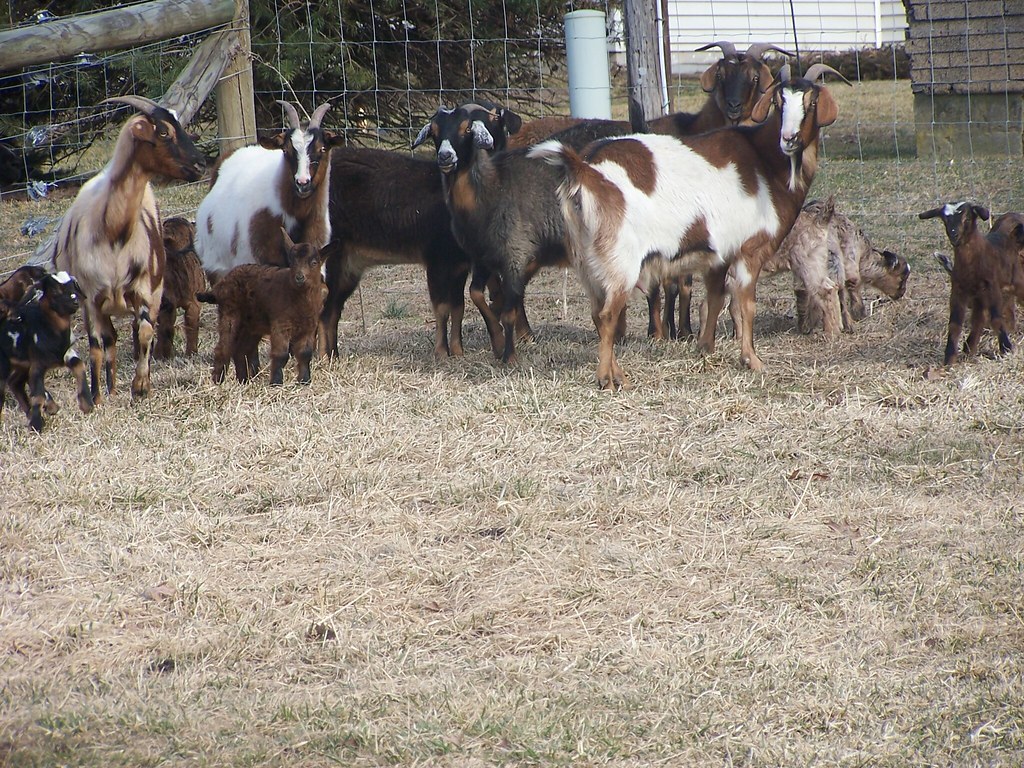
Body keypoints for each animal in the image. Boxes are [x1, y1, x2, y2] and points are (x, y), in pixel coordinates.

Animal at [0, 271, 92, 431]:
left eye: (73, 286)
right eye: (54, 291)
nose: (75, 301)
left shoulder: (66, 354)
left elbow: (79, 365)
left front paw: (86, 404)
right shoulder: (37, 363)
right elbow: (38, 395)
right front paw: (37, 424)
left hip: (22, 364)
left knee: (15, 382)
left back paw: (40, 410)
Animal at [197, 229, 325, 386]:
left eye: (314, 263)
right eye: (292, 262)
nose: (299, 277)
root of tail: (221, 285)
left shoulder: (309, 326)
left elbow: (305, 353)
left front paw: (305, 381)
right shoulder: (280, 324)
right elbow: (281, 354)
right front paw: (276, 383)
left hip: (251, 325)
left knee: (241, 351)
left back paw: (243, 381)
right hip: (230, 313)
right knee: (224, 347)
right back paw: (218, 381)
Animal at [530, 64, 849, 388]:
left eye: (811, 101)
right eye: (778, 102)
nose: (789, 138)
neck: (766, 163)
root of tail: (584, 168)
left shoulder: (719, 255)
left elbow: (715, 297)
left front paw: (705, 348)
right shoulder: (750, 249)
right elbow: (746, 304)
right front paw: (752, 360)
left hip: (586, 260)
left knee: (597, 313)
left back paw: (617, 373)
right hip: (620, 259)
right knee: (608, 314)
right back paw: (609, 380)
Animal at [919, 202, 1024, 364]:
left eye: (967, 218)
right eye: (945, 220)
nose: (954, 234)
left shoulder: (992, 288)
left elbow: (996, 319)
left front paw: (1006, 349)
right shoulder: (960, 292)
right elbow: (956, 324)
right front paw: (951, 357)